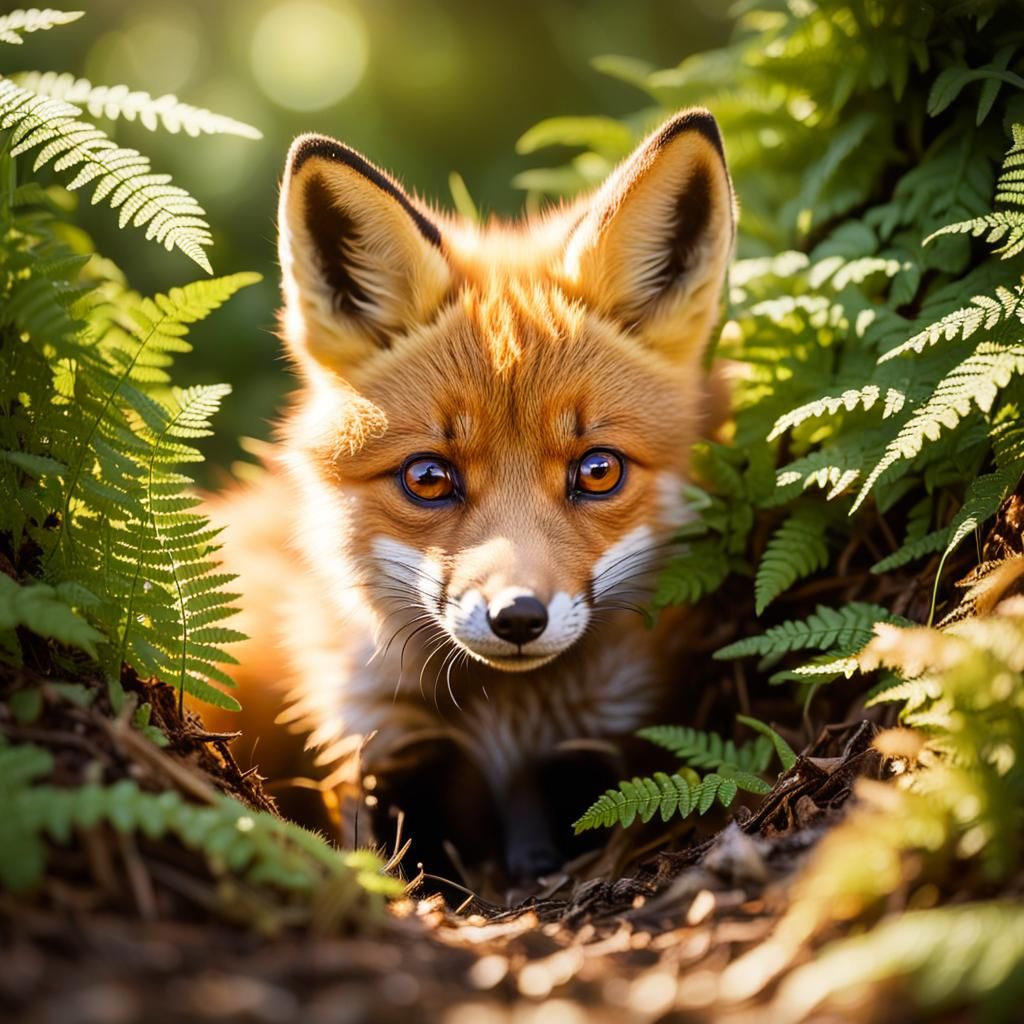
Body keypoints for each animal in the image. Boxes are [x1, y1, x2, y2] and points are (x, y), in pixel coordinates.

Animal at [206, 109, 735, 887]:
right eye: (429, 478)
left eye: (597, 470)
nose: (518, 617)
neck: (505, 721)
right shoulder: (381, 746)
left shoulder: (603, 738)